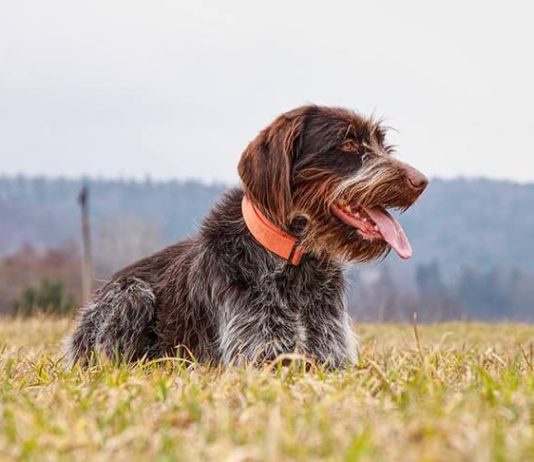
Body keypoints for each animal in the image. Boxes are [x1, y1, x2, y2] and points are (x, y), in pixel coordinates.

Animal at [65, 104, 430, 368]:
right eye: (348, 143)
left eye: (383, 145)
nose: (421, 181)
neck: (296, 264)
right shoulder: (258, 357)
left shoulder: (332, 356)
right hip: (131, 295)